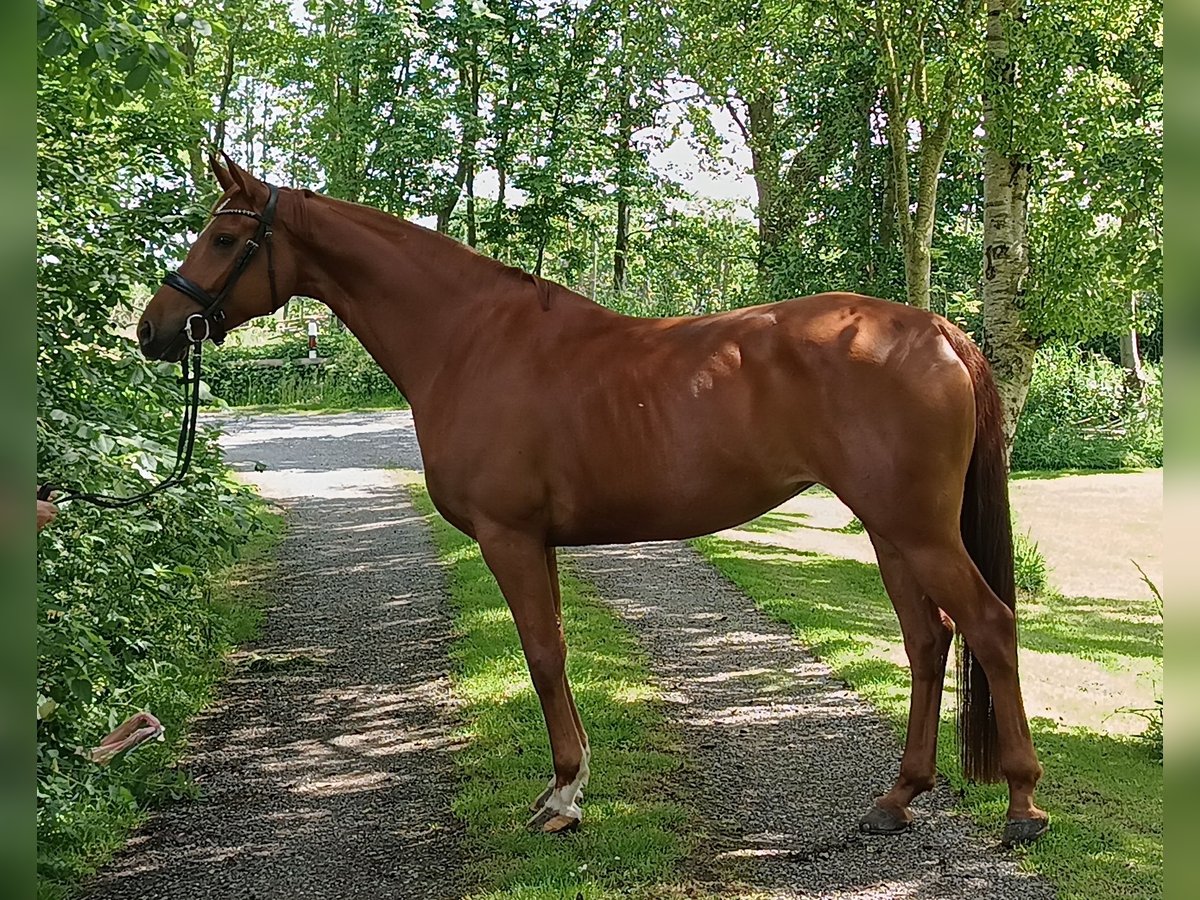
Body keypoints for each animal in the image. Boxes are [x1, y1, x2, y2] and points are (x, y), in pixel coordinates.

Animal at [136, 158, 1046, 849]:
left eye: (224, 238)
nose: (153, 328)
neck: (469, 340)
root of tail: (938, 331)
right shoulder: (535, 541)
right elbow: (558, 655)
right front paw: (567, 788)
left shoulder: (507, 537)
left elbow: (541, 657)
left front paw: (563, 798)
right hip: (892, 531)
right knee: (928, 642)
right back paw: (898, 798)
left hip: (916, 530)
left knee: (989, 626)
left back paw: (1023, 805)